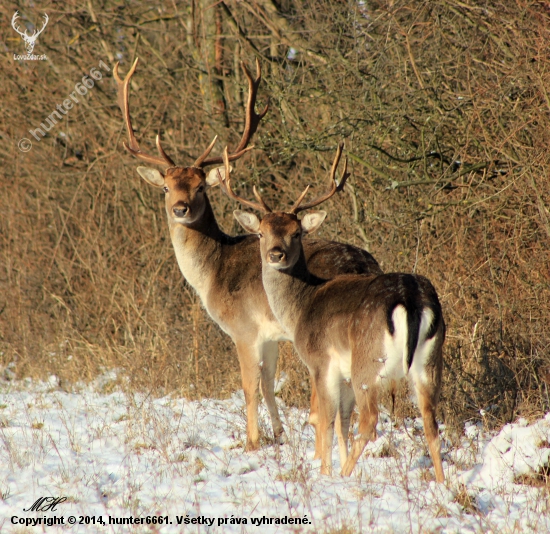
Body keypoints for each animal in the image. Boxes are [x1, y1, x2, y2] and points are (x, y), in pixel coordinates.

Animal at [222, 146, 446, 482]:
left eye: (297, 232)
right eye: (261, 233)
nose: (276, 254)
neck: (301, 305)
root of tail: (411, 299)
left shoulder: (320, 361)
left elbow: (326, 419)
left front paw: (326, 472)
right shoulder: (341, 373)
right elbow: (341, 420)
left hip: (368, 361)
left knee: (369, 421)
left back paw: (344, 474)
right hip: (430, 360)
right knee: (431, 422)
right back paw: (444, 484)